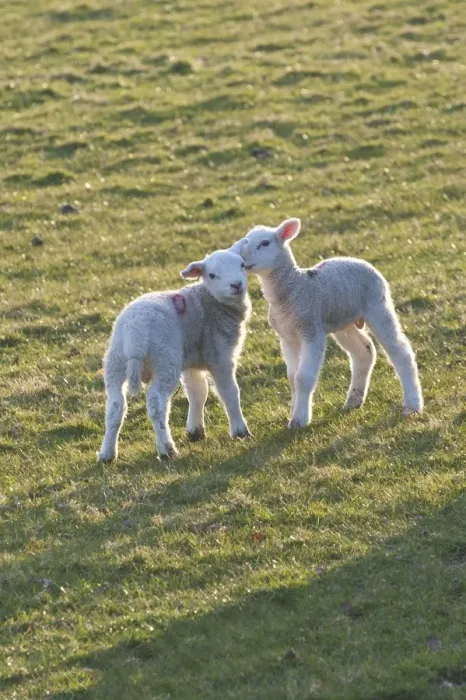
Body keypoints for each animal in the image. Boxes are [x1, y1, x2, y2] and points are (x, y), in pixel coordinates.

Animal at [97, 249, 251, 461]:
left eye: (242, 264)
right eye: (212, 275)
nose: (236, 285)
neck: (209, 302)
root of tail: (135, 335)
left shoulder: (192, 361)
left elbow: (197, 392)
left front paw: (195, 431)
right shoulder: (220, 356)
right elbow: (229, 392)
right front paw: (239, 431)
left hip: (115, 361)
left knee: (115, 406)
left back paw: (107, 453)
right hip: (165, 360)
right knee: (156, 403)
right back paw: (167, 449)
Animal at [230, 218, 423, 428]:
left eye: (265, 243)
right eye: (245, 241)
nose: (242, 260)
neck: (293, 289)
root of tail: (361, 261)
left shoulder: (311, 330)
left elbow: (303, 377)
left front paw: (299, 420)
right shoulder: (287, 336)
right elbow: (292, 377)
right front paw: (293, 412)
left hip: (378, 305)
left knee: (400, 351)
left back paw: (412, 404)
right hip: (343, 320)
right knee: (364, 351)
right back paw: (354, 400)